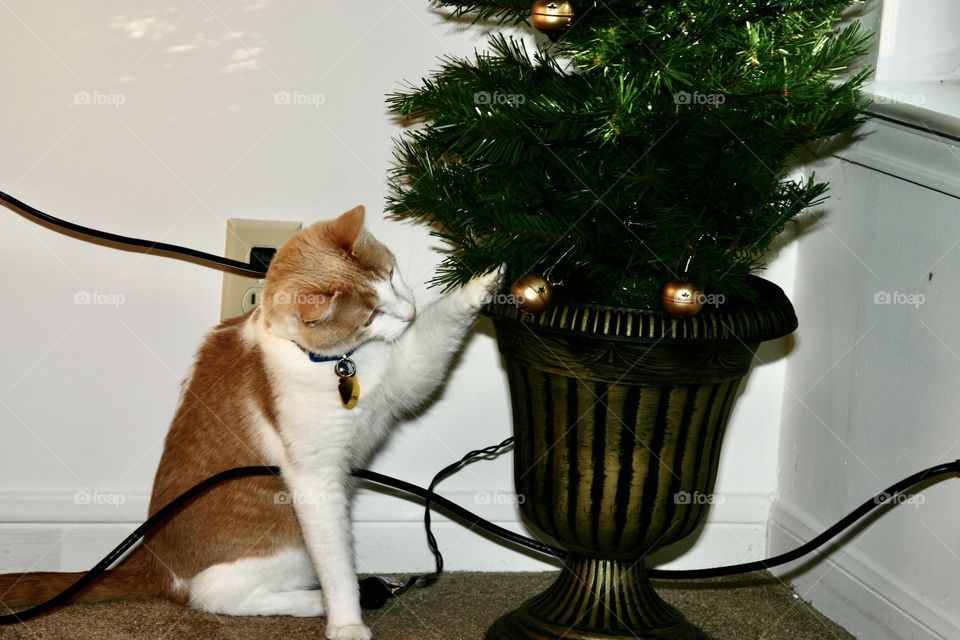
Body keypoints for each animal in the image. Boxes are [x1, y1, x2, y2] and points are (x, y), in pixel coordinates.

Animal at [1, 208, 502, 636]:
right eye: (369, 316)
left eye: (392, 277)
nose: (408, 311)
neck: (341, 364)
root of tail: (154, 561)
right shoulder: (316, 480)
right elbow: (337, 566)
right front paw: (346, 623)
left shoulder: (412, 371)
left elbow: (443, 324)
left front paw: (484, 279)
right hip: (288, 544)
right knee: (217, 596)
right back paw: (322, 600)